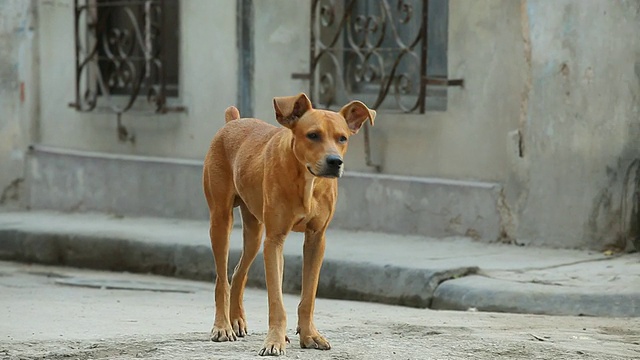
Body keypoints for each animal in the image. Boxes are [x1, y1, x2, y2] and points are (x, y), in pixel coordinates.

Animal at [202, 92, 376, 354]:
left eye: (342, 138)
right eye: (313, 135)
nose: (335, 161)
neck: (306, 178)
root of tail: (233, 122)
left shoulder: (316, 239)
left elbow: (308, 296)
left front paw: (309, 335)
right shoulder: (274, 240)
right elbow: (276, 299)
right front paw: (274, 340)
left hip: (255, 233)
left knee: (239, 272)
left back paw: (237, 319)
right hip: (221, 221)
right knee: (222, 279)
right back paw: (223, 326)